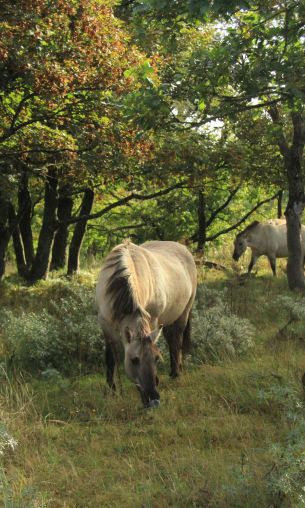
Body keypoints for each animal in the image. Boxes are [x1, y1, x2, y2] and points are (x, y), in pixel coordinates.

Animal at [94, 239, 197, 408]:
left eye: (156, 358)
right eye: (134, 360)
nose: (153, 400)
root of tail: (183, 248)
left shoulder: (153, 321)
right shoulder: (105, 326)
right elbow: (110, 359)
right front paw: (111, 391)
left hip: (183, 314)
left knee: (176, 342)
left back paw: (176, 373)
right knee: (171, 340)